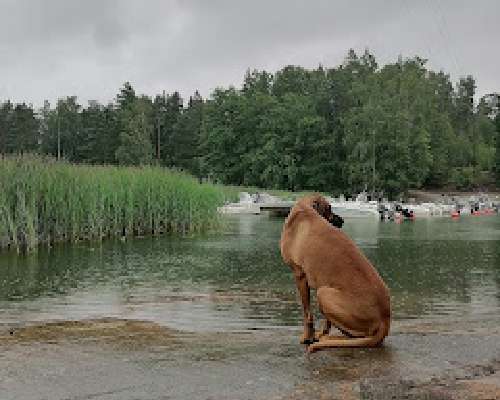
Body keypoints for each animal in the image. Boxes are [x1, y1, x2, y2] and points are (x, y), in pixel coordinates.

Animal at [282, 195, 390, 352]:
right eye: (329, 209)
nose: (341, 220)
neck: (305, 210)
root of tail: (385, 320)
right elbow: (326, 321)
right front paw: (318, 333)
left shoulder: (300, 275)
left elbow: (307, 313)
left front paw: (307, 337)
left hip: (323, 293)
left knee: (357, 336)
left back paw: (328, 339)